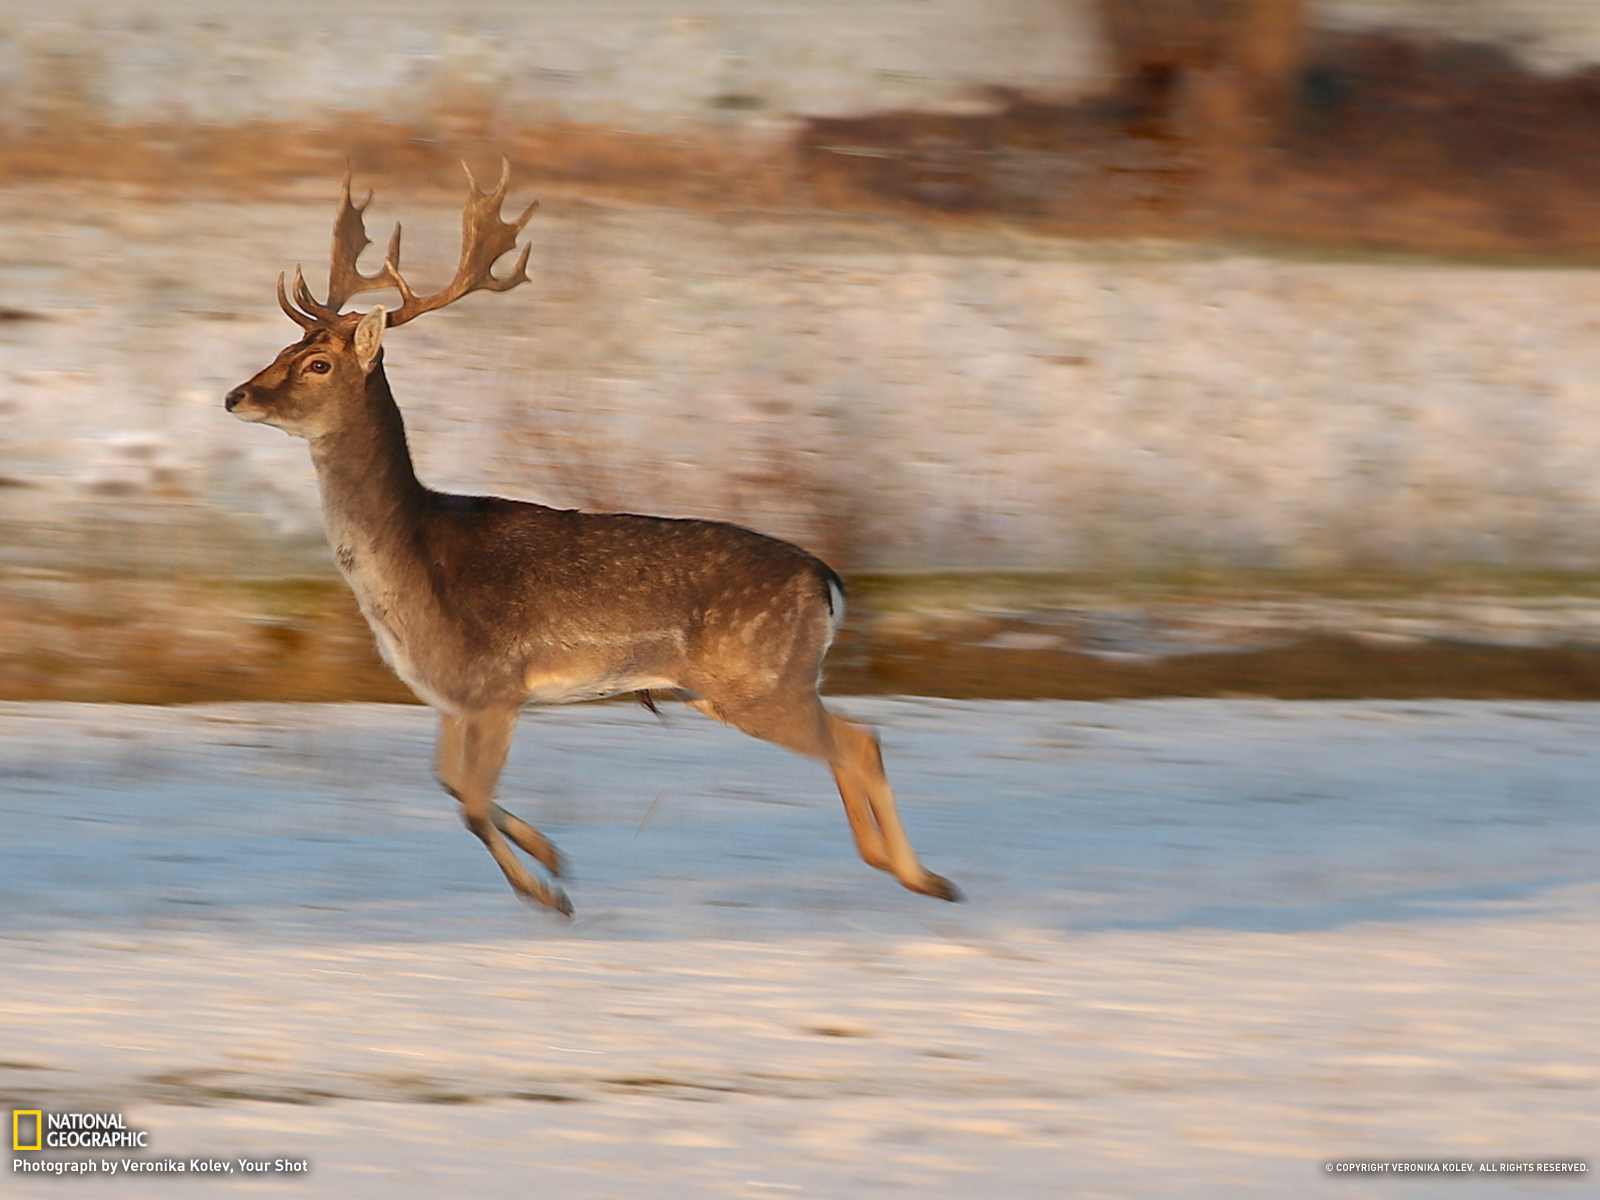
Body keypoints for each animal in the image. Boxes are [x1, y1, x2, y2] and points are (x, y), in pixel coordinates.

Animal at [219, 164, 953, 915]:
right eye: (283, 348)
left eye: (318, 365)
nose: (236, 396)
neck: (410, 567)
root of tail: (826, 580)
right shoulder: (453, 697)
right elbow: (451, 785)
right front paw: (552, 855)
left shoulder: (492, 687)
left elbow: (471, 802)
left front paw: (548, 893)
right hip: (735, 688)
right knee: (852, 742)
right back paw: (890, 865)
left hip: (759, 680)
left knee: (860, 743)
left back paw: (926, 878)